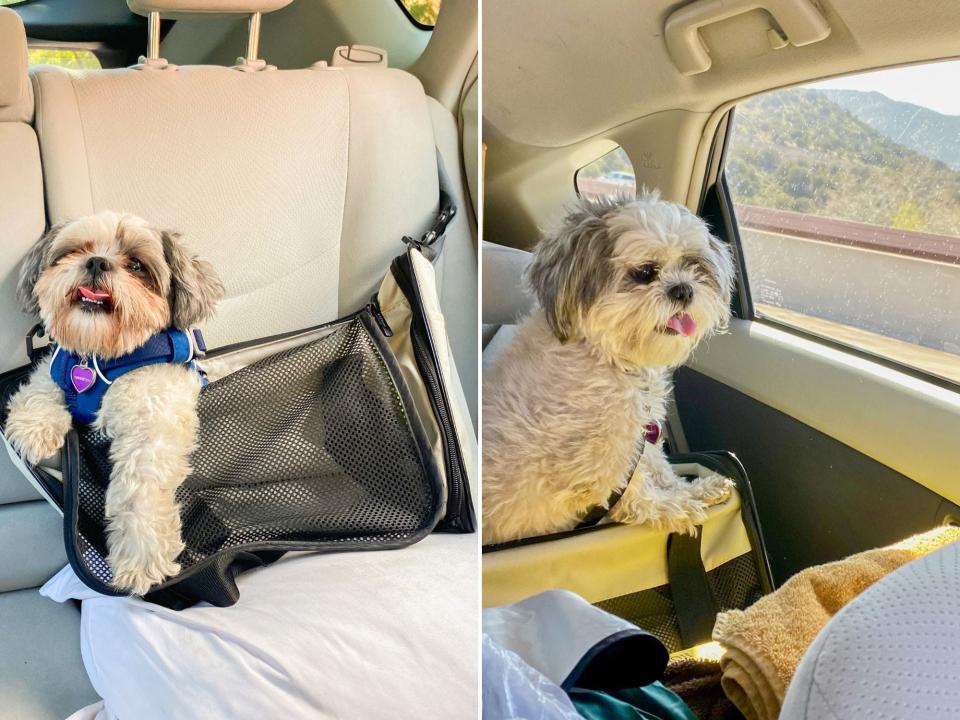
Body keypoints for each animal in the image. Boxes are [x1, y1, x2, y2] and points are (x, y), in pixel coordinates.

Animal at [4, 211, 224, 592]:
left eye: (136, 265)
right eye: (76, 250)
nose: (96, 261)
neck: (97, 356)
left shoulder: (153, 422)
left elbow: (141, 487)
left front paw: (141, 554)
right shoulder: (56, 366)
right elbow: (41, 386)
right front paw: (36, 427)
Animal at [484, 194, 740, 544]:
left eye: (693, 266)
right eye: (645, 272)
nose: (684, 289)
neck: (610, 359)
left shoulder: (639, 433)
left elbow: (656, 464)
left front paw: (692, 489)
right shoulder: (597, 457)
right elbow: (632, 490)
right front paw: (673, 506)